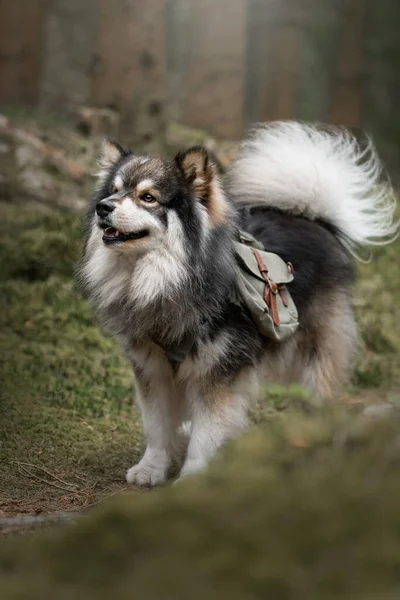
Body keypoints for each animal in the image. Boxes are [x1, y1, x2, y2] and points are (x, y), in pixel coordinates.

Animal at [78, 123, 396, 488]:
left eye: (148, 197)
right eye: (114, 191)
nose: (103, 207)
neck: (166, 278)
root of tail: (309, 217)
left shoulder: (218, 373)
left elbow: (207, 431)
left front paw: (192, 478)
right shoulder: (153, 369)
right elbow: (157, 427)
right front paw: (152, 468)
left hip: (316, 351)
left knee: (319, 393)